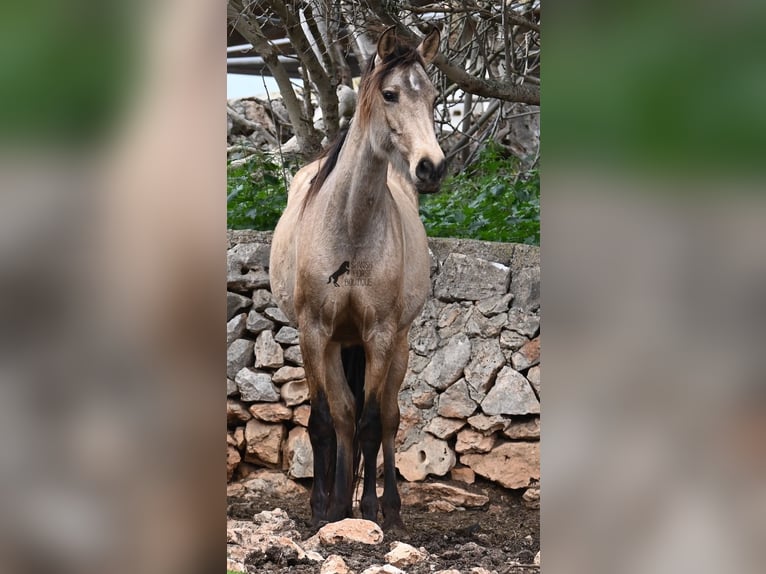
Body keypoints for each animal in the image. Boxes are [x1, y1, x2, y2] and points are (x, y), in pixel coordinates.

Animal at [272, 27, 448, 532]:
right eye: (390, 94)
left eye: (433, 97)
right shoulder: (314, 333)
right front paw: (324, 510)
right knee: (342, 415)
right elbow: (325, 421)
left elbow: (371, 423)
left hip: (396, 344)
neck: (349, 226)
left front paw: (367, 509)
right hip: (335, 344)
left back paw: (386, 507)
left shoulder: (381, 335)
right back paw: (335, 502)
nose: (432, 167)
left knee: (385, 417)